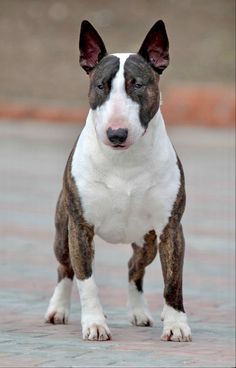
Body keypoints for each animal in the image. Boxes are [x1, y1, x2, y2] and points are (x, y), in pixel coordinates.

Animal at [44, 20, 192, 342]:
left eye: (137, 85)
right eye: (101, 86)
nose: (116, 134)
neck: (124, 162)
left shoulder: (170, 228)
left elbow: (173, 281)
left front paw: (176, 324)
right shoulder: (80, 228)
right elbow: (86, 280)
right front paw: (95, 324)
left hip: (147, 242)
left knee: (134, 268)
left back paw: (140, 312)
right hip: (62, 233)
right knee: (65, 268)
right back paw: (58, 309)